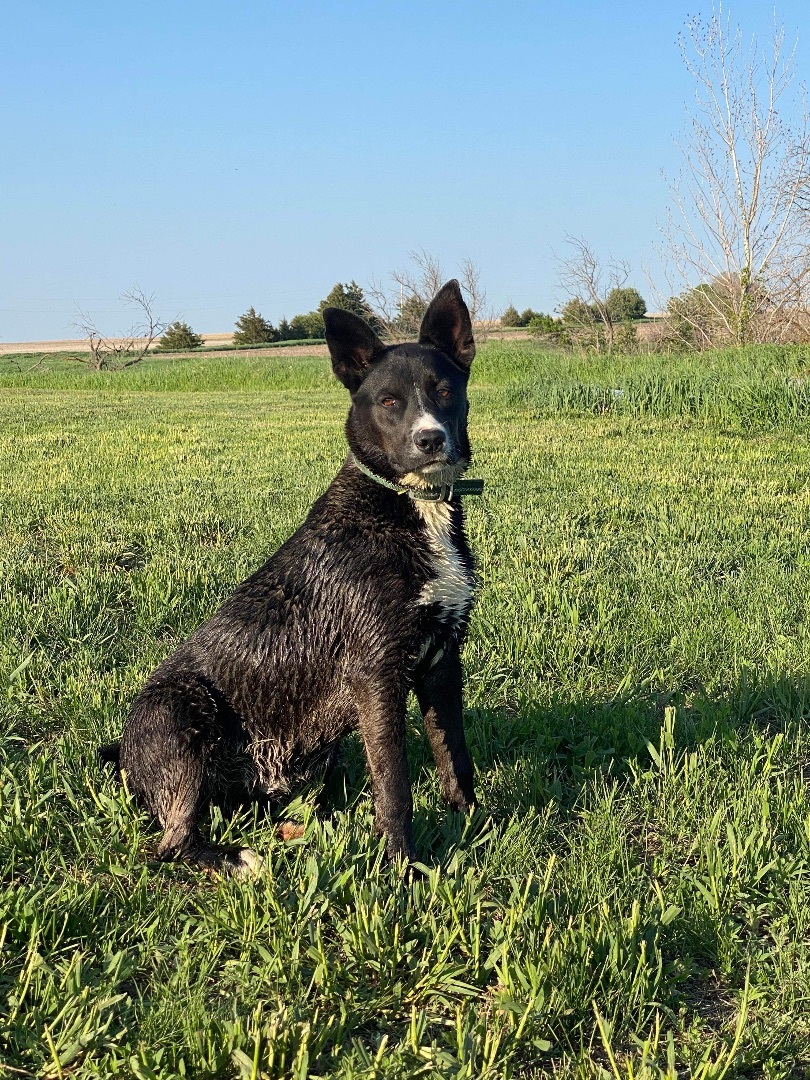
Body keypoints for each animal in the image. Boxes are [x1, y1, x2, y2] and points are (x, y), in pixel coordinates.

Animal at [100, 280, 481, 876]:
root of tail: (125, 755)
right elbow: (394, 786)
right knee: (171, 844)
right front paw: (402, 865)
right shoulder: (377, 676)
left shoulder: (442, 664)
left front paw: (473, 823)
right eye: (389, 402)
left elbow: (454, 757)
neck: (410, 508)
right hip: (182, 715)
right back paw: (236, 860)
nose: (431, 440)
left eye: (444, 390)